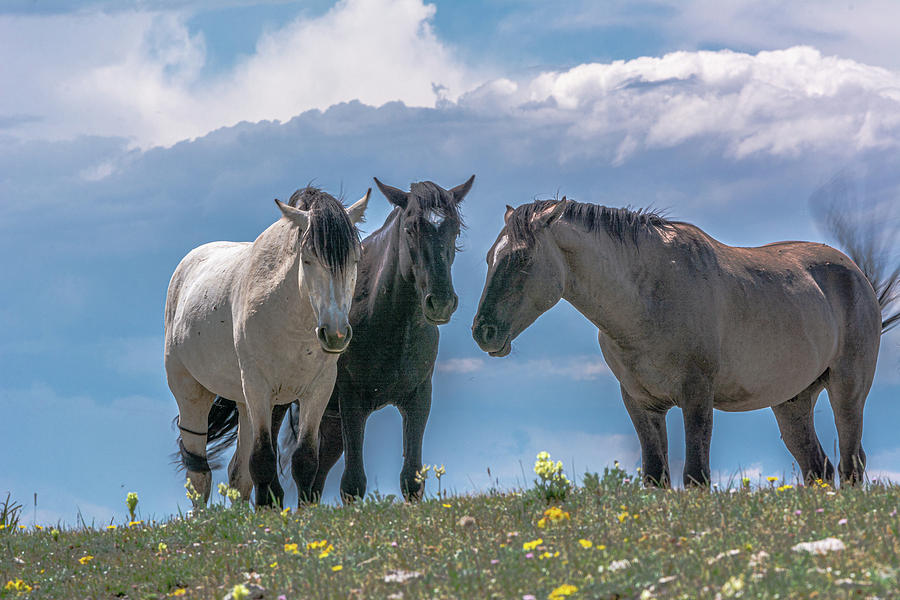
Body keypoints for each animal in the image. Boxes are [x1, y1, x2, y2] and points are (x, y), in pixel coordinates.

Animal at [165, 188, 370, 506]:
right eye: (308, 259)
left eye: (354, 260)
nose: (335, 334)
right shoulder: (258, 388)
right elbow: (262, 460)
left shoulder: (318, 389)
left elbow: (305, 460)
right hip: (192, 394)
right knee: (199, 473)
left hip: (245, 402)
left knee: (237, 473)